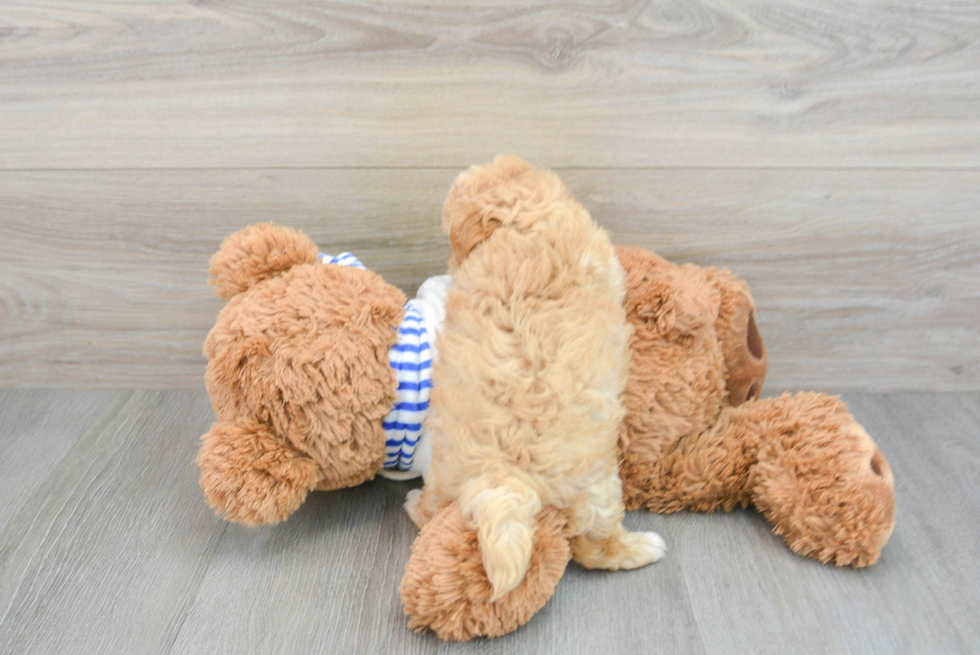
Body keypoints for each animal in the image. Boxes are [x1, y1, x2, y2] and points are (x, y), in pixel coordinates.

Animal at [406, 158, 668, 600]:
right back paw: (643, 548)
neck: (524, 221)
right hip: (598, 485)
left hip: (451, 472)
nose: (450, 263)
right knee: (597, 546)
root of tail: (506, 475)